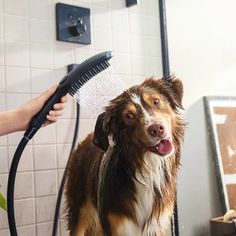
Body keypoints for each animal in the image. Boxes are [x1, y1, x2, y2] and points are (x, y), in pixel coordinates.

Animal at [64, 76, 184, 235]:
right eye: (128, 116)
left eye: (156, 101)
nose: (157, 129)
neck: (145, 166)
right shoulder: (116, 225)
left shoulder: (159, 225)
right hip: (79, 210)